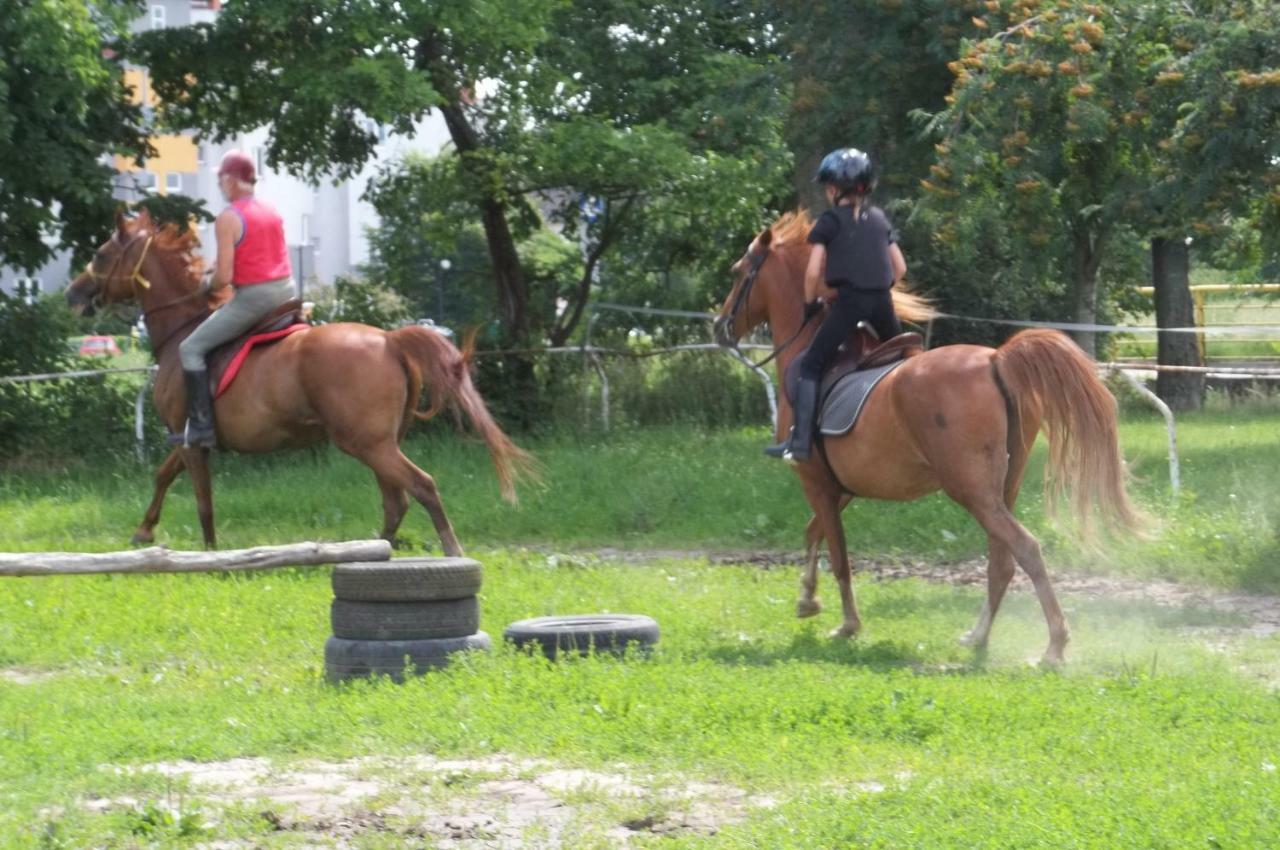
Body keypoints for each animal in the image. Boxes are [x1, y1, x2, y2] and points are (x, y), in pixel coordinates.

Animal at [67, 211, 529, 550]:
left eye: (102, 254)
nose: (74, 294)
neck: (182, 328)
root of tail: (388, 338)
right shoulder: (185, 441)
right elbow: (164, 475)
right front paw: (144, 530)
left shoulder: (189, 439)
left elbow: (201, 500)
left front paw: (210, 552)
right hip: (378, 443)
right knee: (395, 499)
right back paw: (372, 549)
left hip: (367, 443)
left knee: (421, 487)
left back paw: (446, 550)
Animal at [711, 211, 1141, 665]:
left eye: (738, 273)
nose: (720, 327)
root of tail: (995, 358)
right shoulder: (839, 486)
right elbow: (815, 532)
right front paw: (807, 599)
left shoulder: (816, 481)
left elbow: (840, 556)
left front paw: (847, 624)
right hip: (1000, 489)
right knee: (1002, 561)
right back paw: (978, 636)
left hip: (969, 489)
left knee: (1025, 550)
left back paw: (1054, 646)